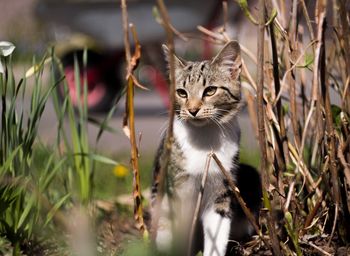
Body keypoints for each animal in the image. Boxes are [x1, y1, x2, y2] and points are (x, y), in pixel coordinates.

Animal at [150, 41, 262, 256]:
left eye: (210, 90)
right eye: (182, 92)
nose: (193, 110)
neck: (205, 138)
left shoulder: (221, 187)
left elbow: (217, 233)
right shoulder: (177, 188)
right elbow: (179, 230)